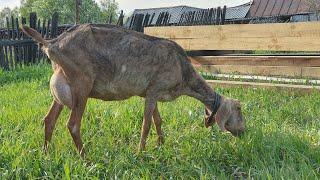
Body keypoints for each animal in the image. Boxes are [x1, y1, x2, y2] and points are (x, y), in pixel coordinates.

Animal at [21, 24, 245, 158]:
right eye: (240, 109)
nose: (244, 132)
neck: (183, 72)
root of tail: (52, 44)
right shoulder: (154, 90)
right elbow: (146, 124)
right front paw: (140, 152)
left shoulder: (152, 92)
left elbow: (157, 120)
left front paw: (161, 144)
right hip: (81, 84)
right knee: (73, 125)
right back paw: (86, 158)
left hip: (62, 86)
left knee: (49, 119)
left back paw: (46, 153)